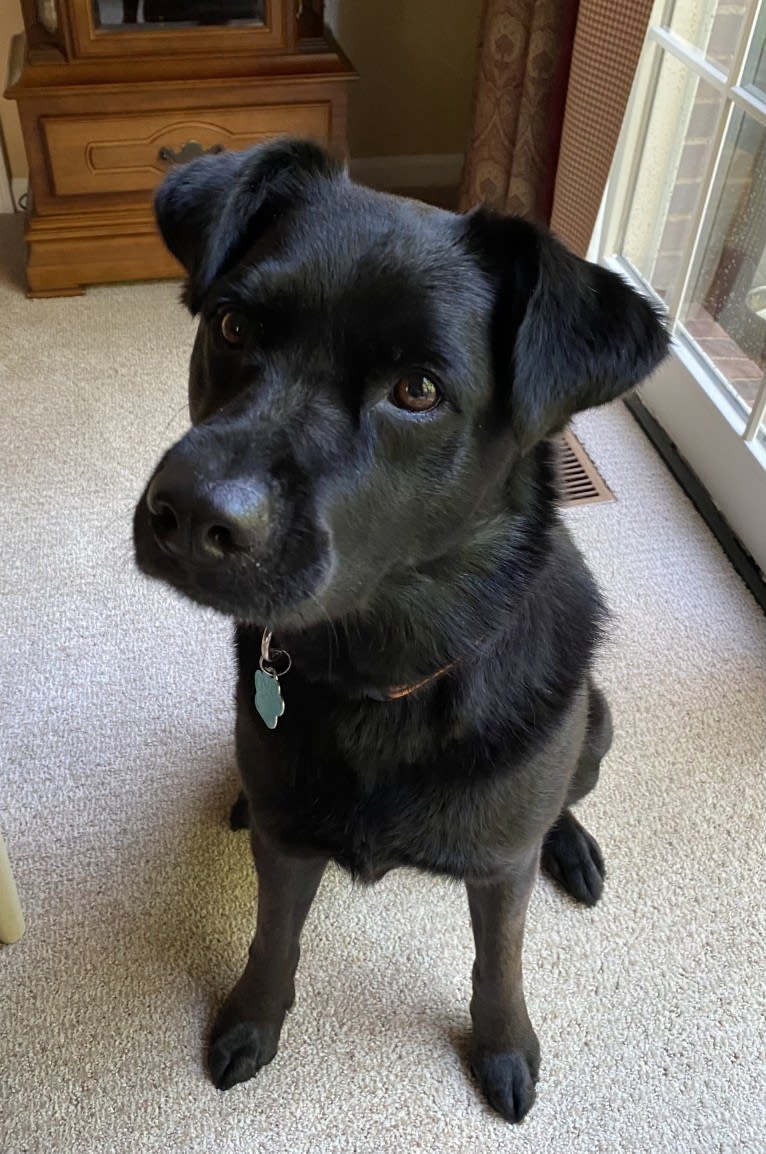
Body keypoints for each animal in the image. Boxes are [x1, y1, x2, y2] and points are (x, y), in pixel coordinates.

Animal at [131, 135, 664, 1117]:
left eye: (417, 389)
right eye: (231, 327)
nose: (188, 516)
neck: (385, 671)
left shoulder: (499, 871)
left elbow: (500, 962)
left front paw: (504, 1047)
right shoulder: (287, 846)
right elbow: (273, 937)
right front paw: (253, 1018)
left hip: (597, 726)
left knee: (566, 796)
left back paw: (570, 844)